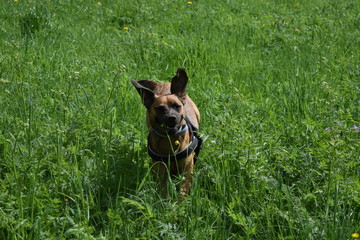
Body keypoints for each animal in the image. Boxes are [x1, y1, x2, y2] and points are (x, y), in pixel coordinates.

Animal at [131, 67, 202, 199]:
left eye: (177, 106)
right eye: (160, 108)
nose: (171, 118)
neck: (170, 141)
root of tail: (163, 83)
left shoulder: (187, 171)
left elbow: (183, 191)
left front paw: (180, 203)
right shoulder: (161, 170)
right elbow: (163, 189)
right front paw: (166, 202)